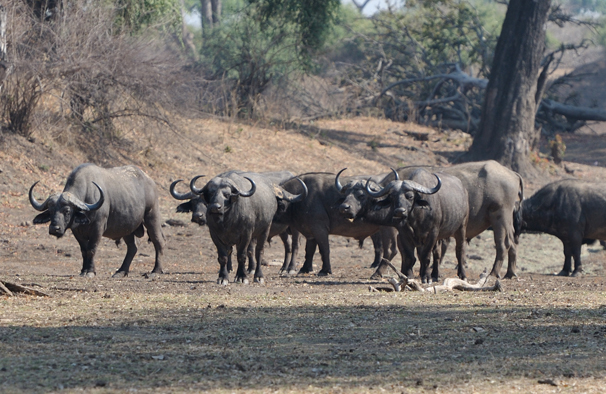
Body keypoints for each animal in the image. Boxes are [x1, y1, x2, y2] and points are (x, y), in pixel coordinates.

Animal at [170, 171, 302, 276]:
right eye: (193, 203)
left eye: (227, 195)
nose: (198, 216)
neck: (227, 220)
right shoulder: (219, 234)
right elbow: (228, 251)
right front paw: (228, 270)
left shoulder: (248, 234)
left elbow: (247, 251)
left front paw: (249, 270)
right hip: (283, 231)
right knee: (288, 245)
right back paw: (283, 268)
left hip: (292, 229)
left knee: (294, 246)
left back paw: (290, 268)